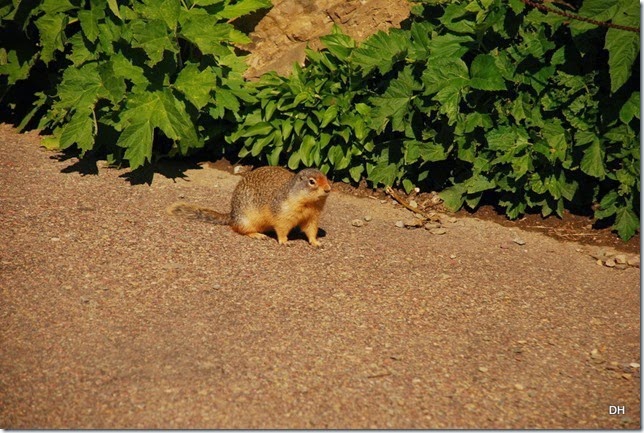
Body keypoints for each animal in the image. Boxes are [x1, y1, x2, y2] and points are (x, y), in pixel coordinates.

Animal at [166, 165, 332, 246]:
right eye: (312, 181)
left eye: (326, 177)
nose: (328, 189)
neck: (309, 203)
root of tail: (232, 215)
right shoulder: (282, 213)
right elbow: (281, 229)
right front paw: (285, 241)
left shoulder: (312, 217)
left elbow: (311, 230)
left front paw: (316, 242)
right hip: (246, 220)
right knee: (240, 230)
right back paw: (257, 235)